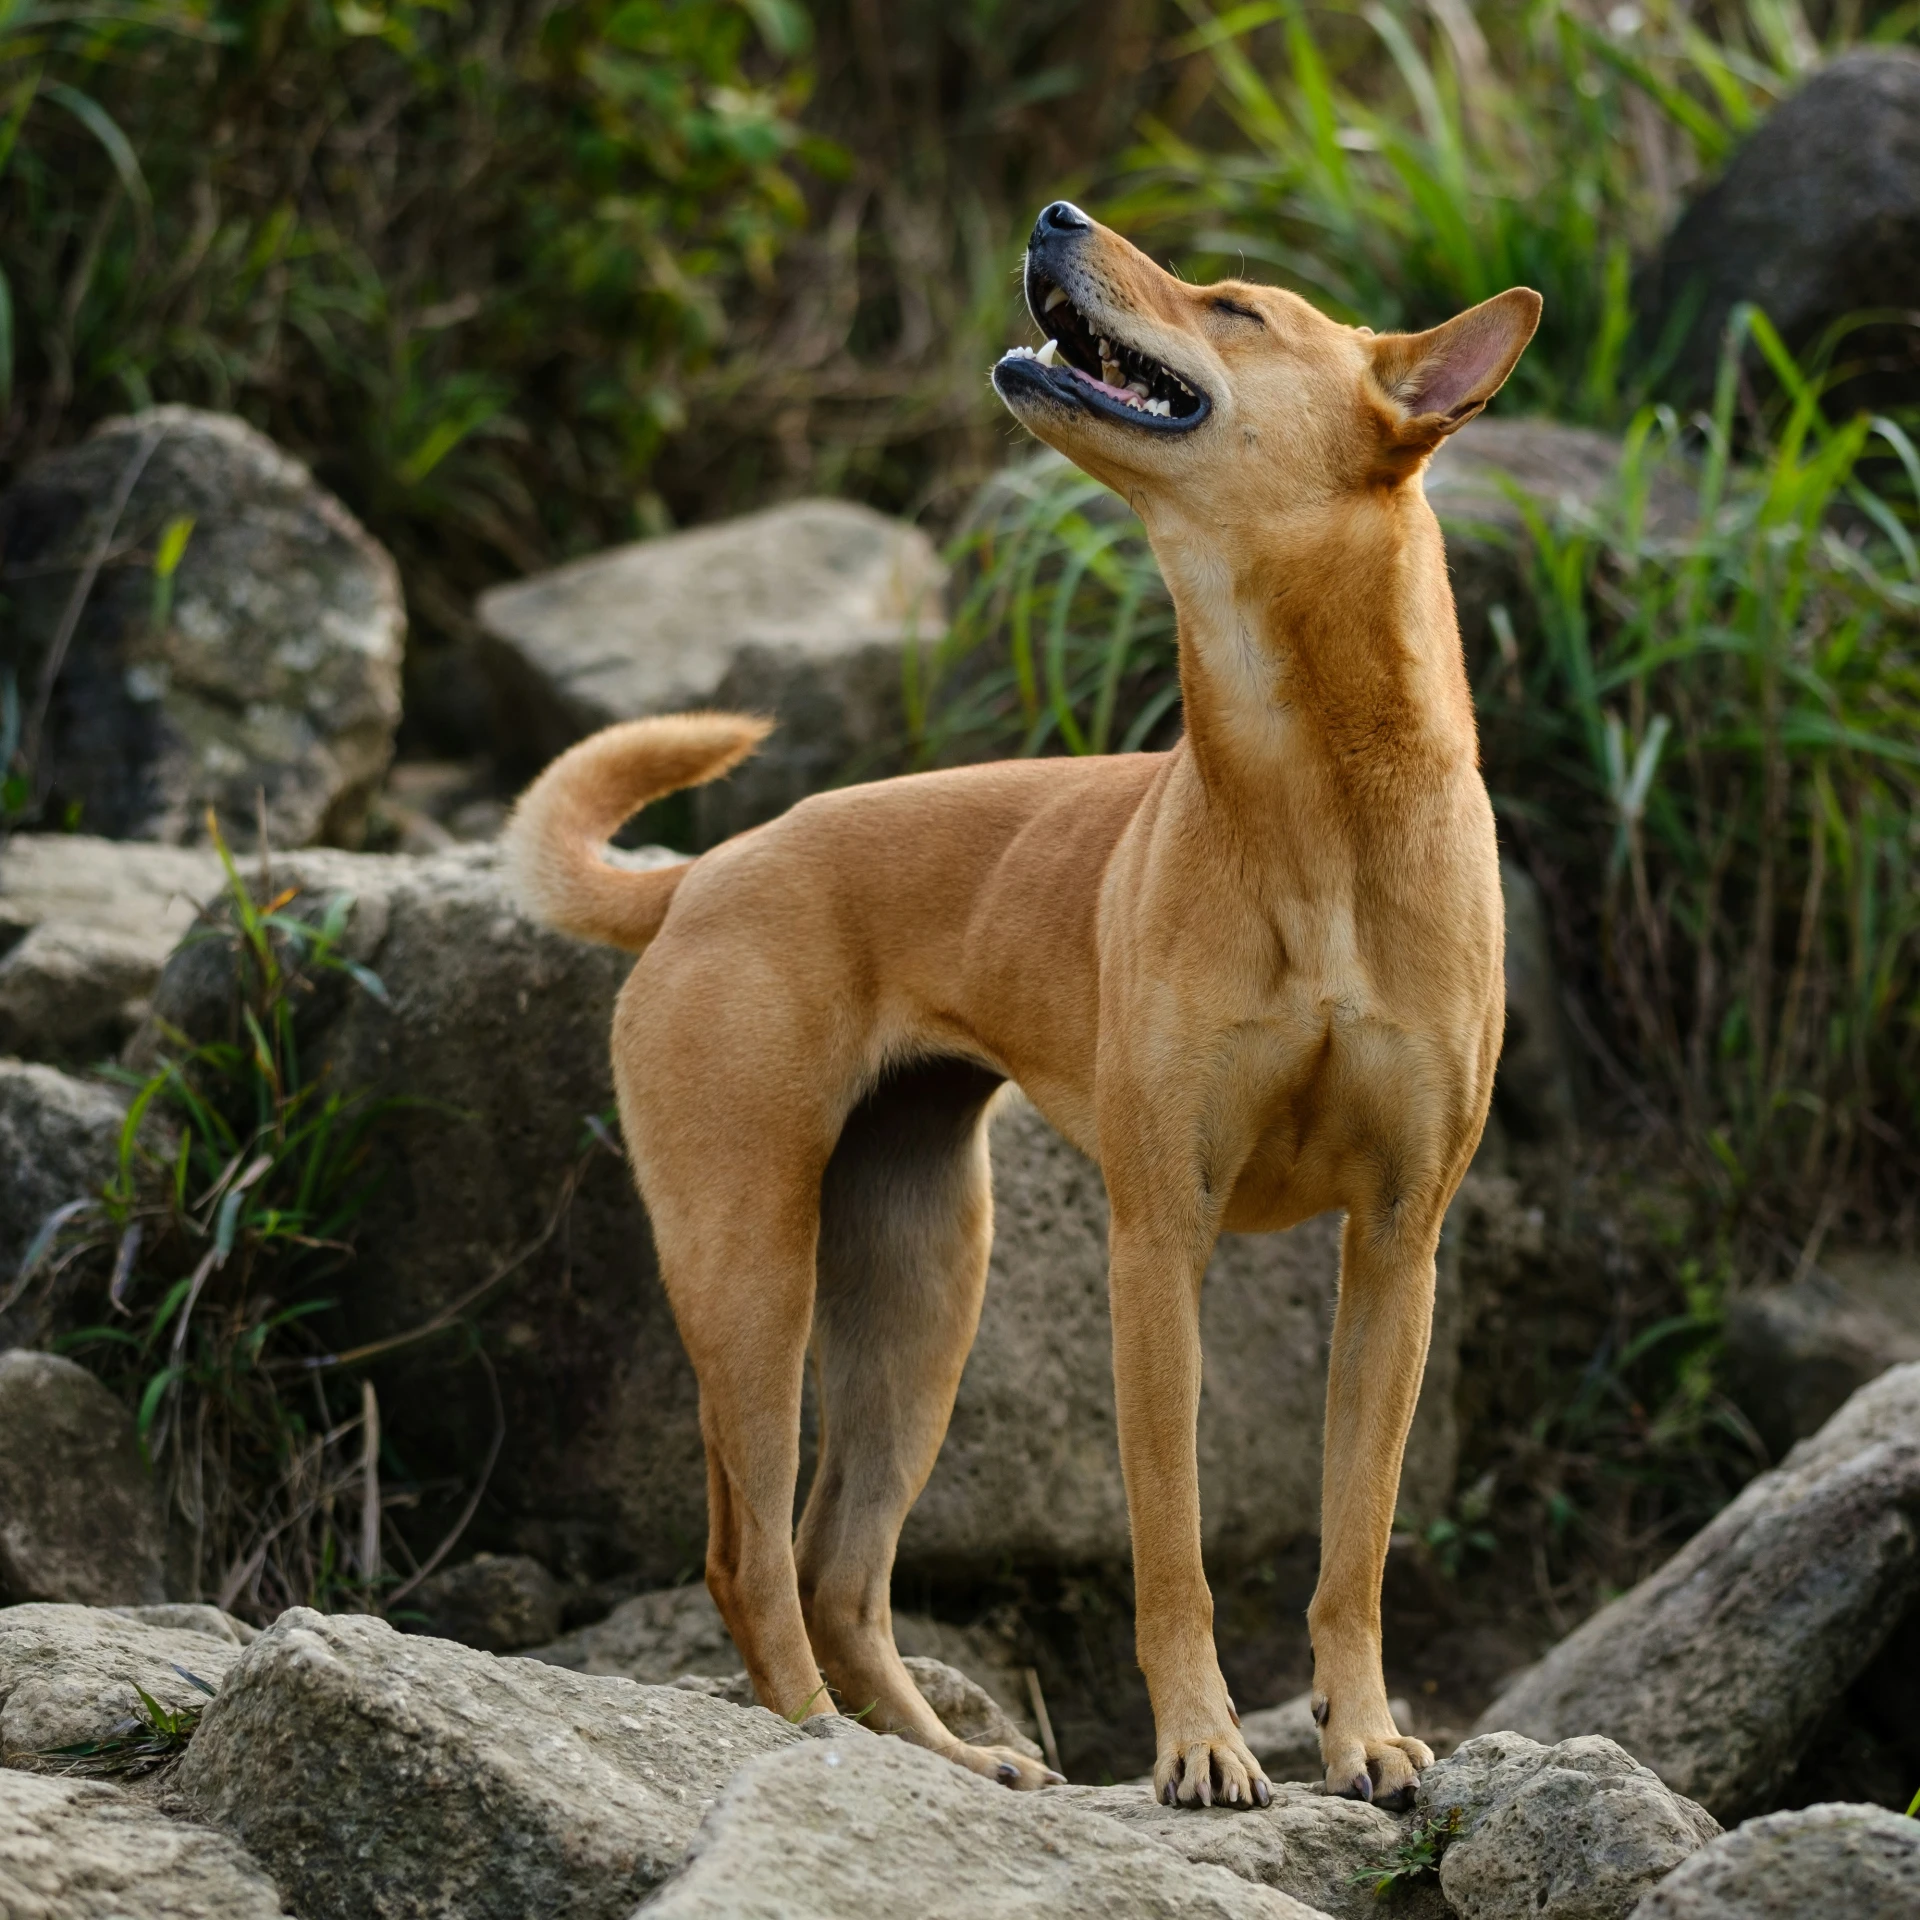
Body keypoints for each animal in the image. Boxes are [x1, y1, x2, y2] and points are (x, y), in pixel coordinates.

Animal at [503, 202, 1536, 1804]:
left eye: (1235, 307)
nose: (1057, 214)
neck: (1307, 794)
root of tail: (702, 878)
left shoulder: (1396, 1251)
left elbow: (1353, 1547)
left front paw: (1363, 1738)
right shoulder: (1159, 1244)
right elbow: (1171, 1547)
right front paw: (1201, 1749)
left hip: (924, 1283)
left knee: (840, 1565)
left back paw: (953, 1762)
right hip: (752, 1268)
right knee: (753, 1557)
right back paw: (820, 1742)